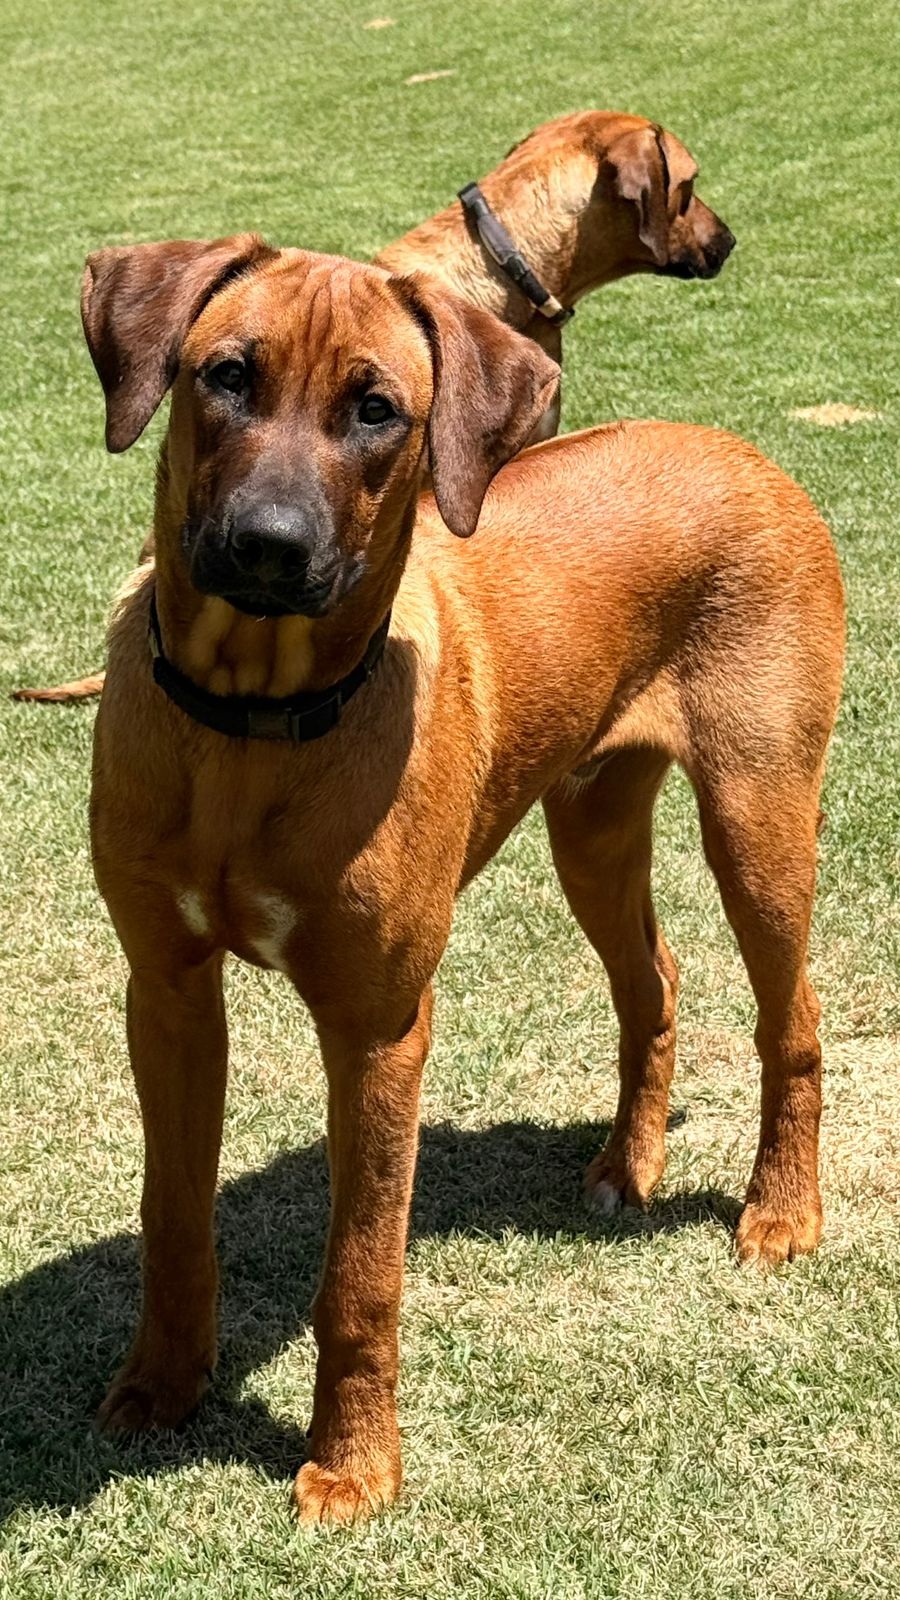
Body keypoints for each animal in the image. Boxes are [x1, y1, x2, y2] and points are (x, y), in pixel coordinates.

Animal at [82, 236, 843, 1524]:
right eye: (225, 376)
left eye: (377, 409)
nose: (268, 546)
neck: (252, 726)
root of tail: (744, 451)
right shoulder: (168, 989)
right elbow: (172, 1216)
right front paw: (161, 1385)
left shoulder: (380, 1024)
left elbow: (361, 1271)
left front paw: (353, 1464)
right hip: (592, 822)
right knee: (654, 984)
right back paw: (627, 1166)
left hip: (759, 813)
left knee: (793, 1021)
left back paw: (781, 1211)